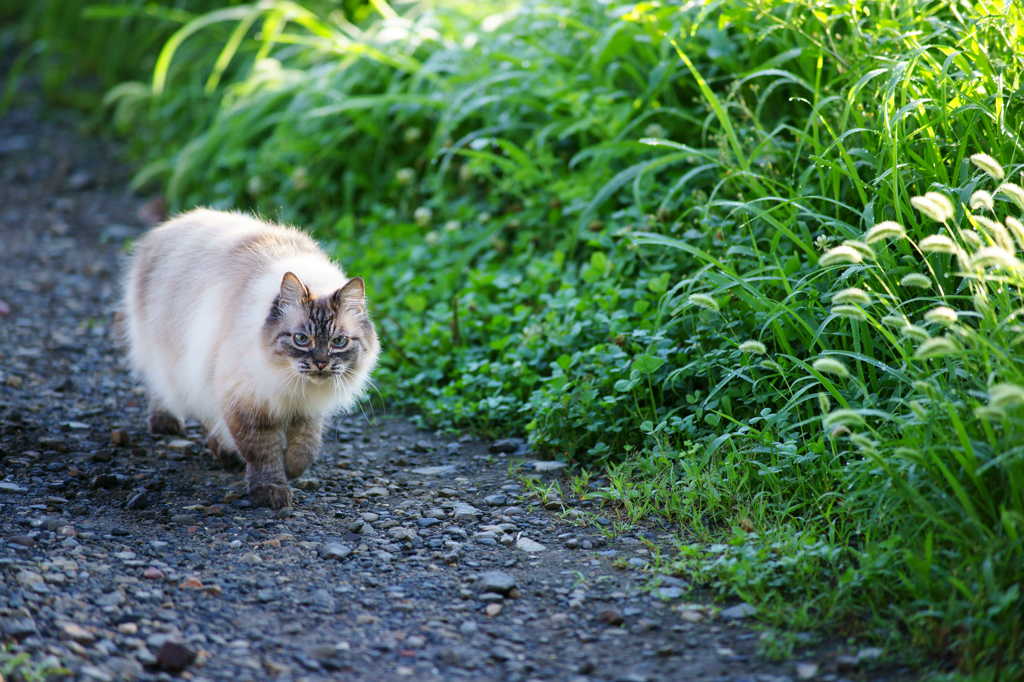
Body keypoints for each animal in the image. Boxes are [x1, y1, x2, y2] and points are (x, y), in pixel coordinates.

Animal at [122, 209, 380, 507]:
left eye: (338, 342)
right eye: (301, 339)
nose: (321, 362)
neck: (293, 383)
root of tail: (174, 222)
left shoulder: (305, 409)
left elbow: (305, 449)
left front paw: (291, 469)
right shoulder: (248, 402)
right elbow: (263, 453)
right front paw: (272, 491)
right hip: (176, 358)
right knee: (164, 387)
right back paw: (172, 426)